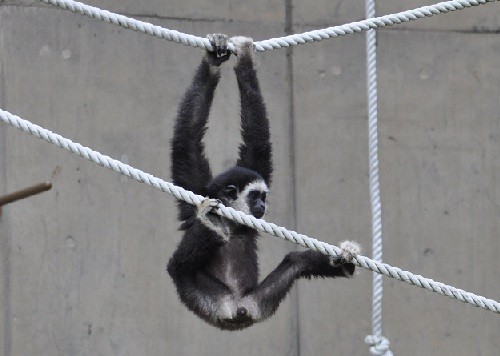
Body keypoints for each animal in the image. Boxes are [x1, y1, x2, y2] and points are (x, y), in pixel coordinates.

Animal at [167, 34, 360, 330]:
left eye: (263, 196)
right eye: (256, 196)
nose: (262, 206)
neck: (234, 223)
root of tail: (235, 309)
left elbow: (255, 144)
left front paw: (223, 61)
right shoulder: (196, 192)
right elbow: (186, 143)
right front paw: (221, 62)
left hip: (259, 303)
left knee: (295, 262)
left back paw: (343, 262)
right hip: (206, 299)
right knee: (176, 267)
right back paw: (211, 226)